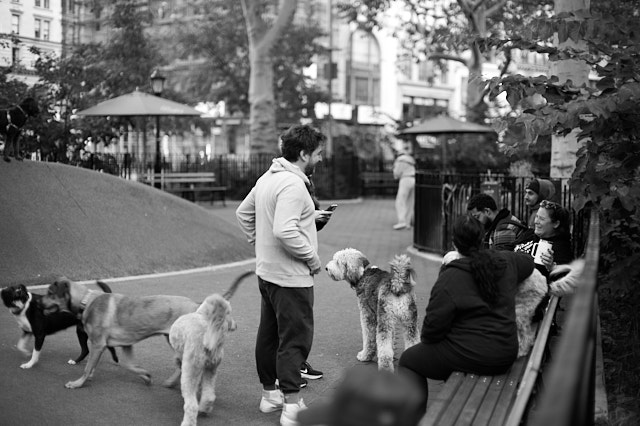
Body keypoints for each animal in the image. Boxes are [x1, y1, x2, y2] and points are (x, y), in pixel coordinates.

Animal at [164, 272, 251, 426]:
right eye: (229, 313)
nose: (235, 325)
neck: (202, 314)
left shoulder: (181, 357)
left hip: (191, 370)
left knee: (191, 404)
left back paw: (188, 421)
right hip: (212, 368)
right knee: (209, 395)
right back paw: (204, 409)